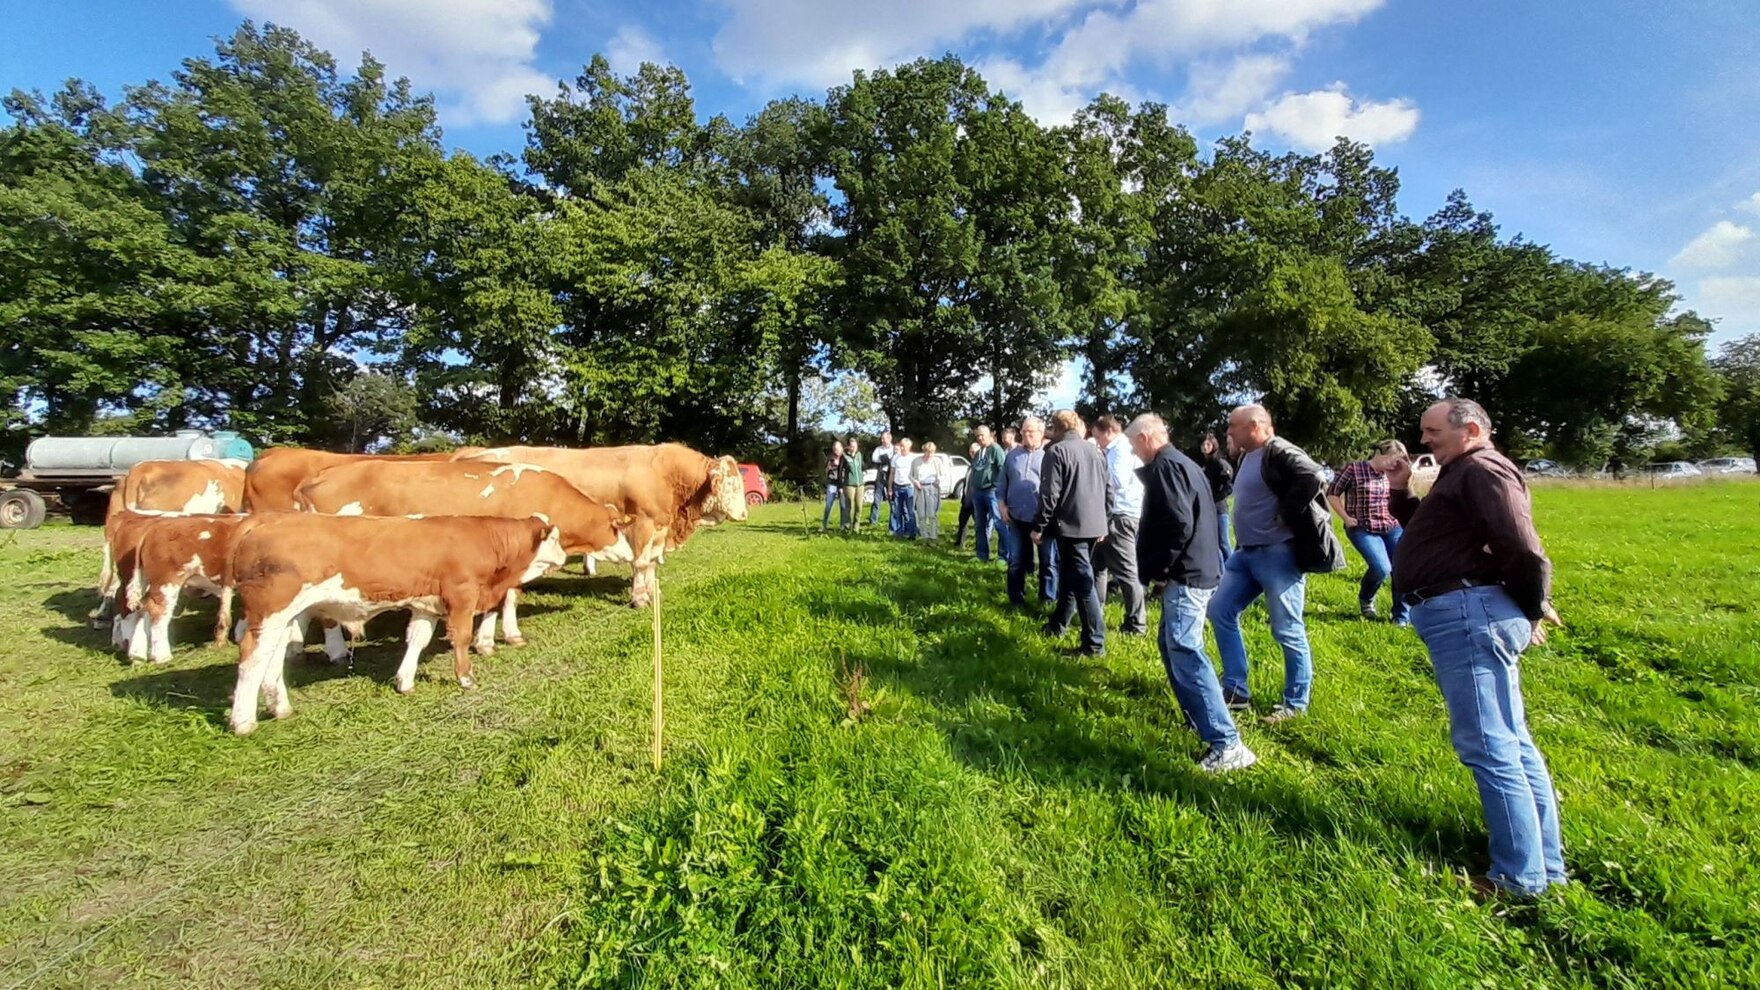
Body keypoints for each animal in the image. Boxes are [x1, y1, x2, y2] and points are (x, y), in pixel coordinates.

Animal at [108, 510, 253, 658]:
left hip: (138, 580)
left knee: (134, 607)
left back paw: (134, 651)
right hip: (164, 581)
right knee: (150, 609)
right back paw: (159, 655)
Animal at [221, 507, 563, 732]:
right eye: (554, 539)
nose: (562, 556)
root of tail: (268, 518)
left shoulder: (427, 603)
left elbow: (417, 639)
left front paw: (405, 681)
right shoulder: (462, 595)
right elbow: (462, 637)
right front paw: (466, 678)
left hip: (285, 616)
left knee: (273, 656)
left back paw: (279, 707)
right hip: (271, 610)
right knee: (253, 656)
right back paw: (243, 721)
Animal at [292, 461, 637, 648]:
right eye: (617, 529)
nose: (631, 554)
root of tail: (320, 475)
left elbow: (506, 597)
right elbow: (507, 598)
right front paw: (500, 637)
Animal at [454, 440, 749, 609]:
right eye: (732, 484)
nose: (745, 513)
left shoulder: (659, 528)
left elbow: (652, 564)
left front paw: (654, 593)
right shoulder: (642, 523)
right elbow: (641, 563)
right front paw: (639, 599)